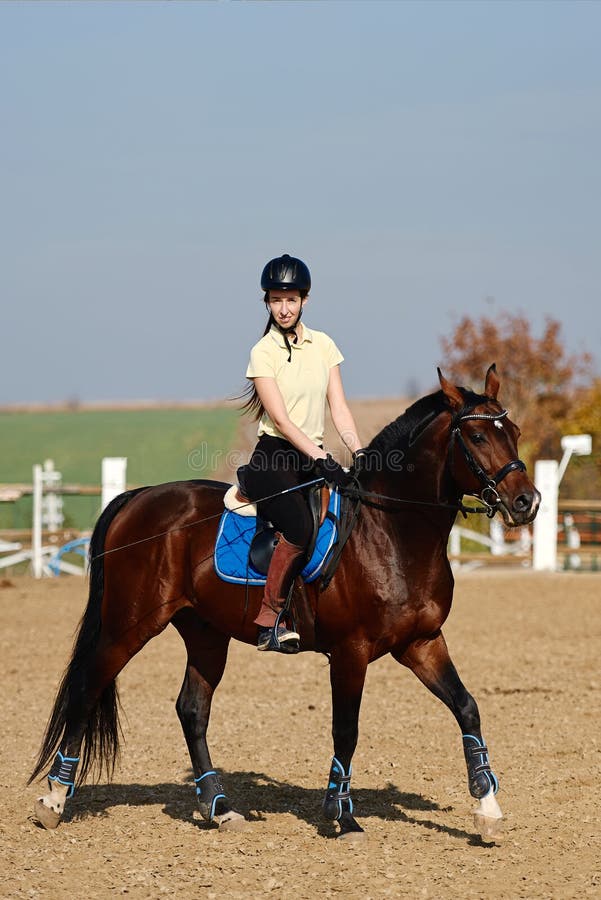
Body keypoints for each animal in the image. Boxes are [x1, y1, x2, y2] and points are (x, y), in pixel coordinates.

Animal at [30, 362, 540, 840]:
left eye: (514, 432)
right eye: (477, 435)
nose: (527, 503)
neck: (391, 530)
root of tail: (136, 499)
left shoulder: (423, 642)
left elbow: (467, 706)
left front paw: (488, 809)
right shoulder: (351, 652)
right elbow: (346, 729)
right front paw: (342, 815)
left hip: (205, 633)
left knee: (191, 710)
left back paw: (219, 807)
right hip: (130, 625)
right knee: (87, 688)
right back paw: (54, 799)